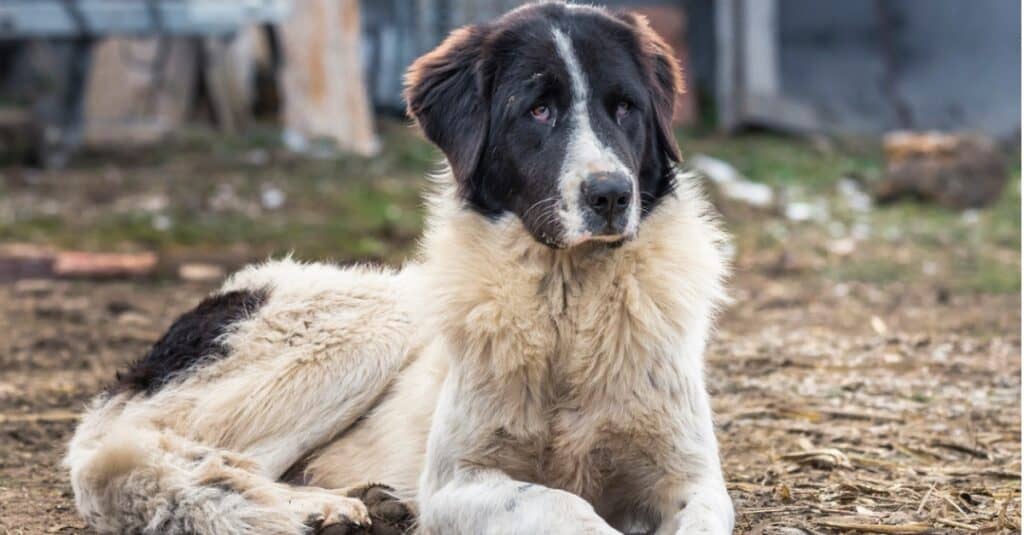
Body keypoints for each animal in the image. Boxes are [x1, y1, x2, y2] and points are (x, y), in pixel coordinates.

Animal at [66, 4, 737, 532]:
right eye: (538, 110)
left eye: (624, 108)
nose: (611, 195)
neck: (568, 301)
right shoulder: (457, 483)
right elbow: (563, 505)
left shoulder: (694, 479)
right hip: (371, 327)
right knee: (156, 458)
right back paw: (313, 510)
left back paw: (356, 500)